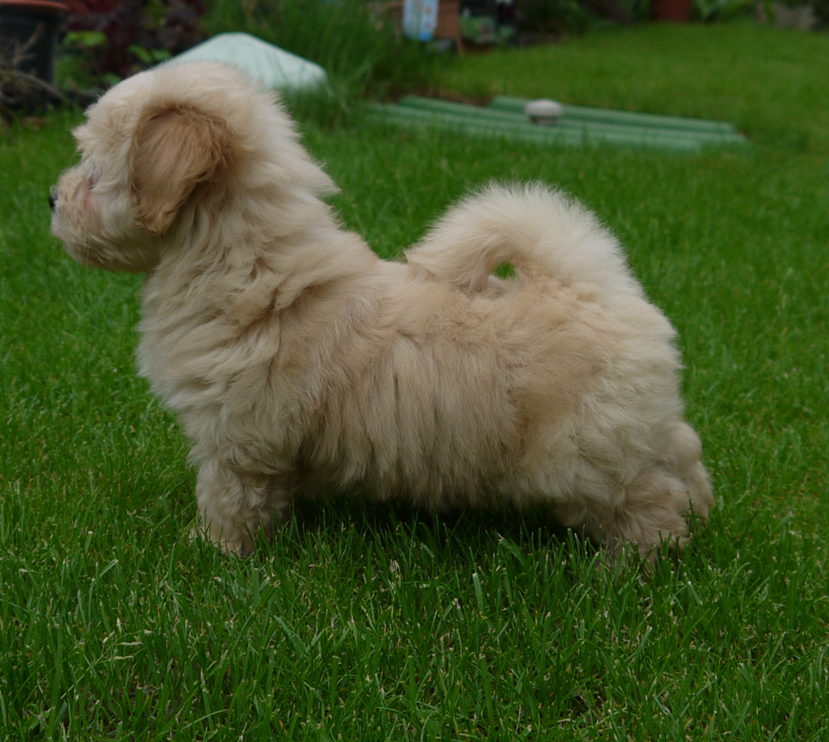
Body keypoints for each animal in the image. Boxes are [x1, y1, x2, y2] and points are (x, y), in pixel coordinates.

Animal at [50, 61, 713, 558]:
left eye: (93, 173)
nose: (51, 197)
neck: (246, 262)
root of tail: (592, 285)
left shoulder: (237, 437)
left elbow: (229, 496)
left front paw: (212, 552)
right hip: (625, 427)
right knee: (680, 448)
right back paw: (700, 508)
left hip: (577, 450)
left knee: (643, 497)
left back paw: (635, 563)